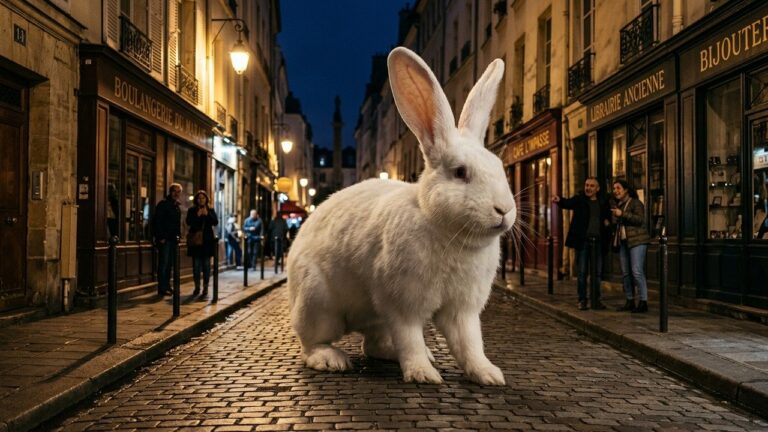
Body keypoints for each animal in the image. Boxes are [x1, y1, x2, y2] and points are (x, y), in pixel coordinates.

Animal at [287, 46, 515, 385]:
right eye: (460, 172)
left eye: (500, 168)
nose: (504, 210)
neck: (447, 231)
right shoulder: (403, 306)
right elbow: (410, 339)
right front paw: (423, 374)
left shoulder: (462, 311)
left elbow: (470, 344)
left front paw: (488, 375)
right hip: (319, 304)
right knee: (311, 342)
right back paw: (331, 359)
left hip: (373, 316)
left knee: (373, 343)